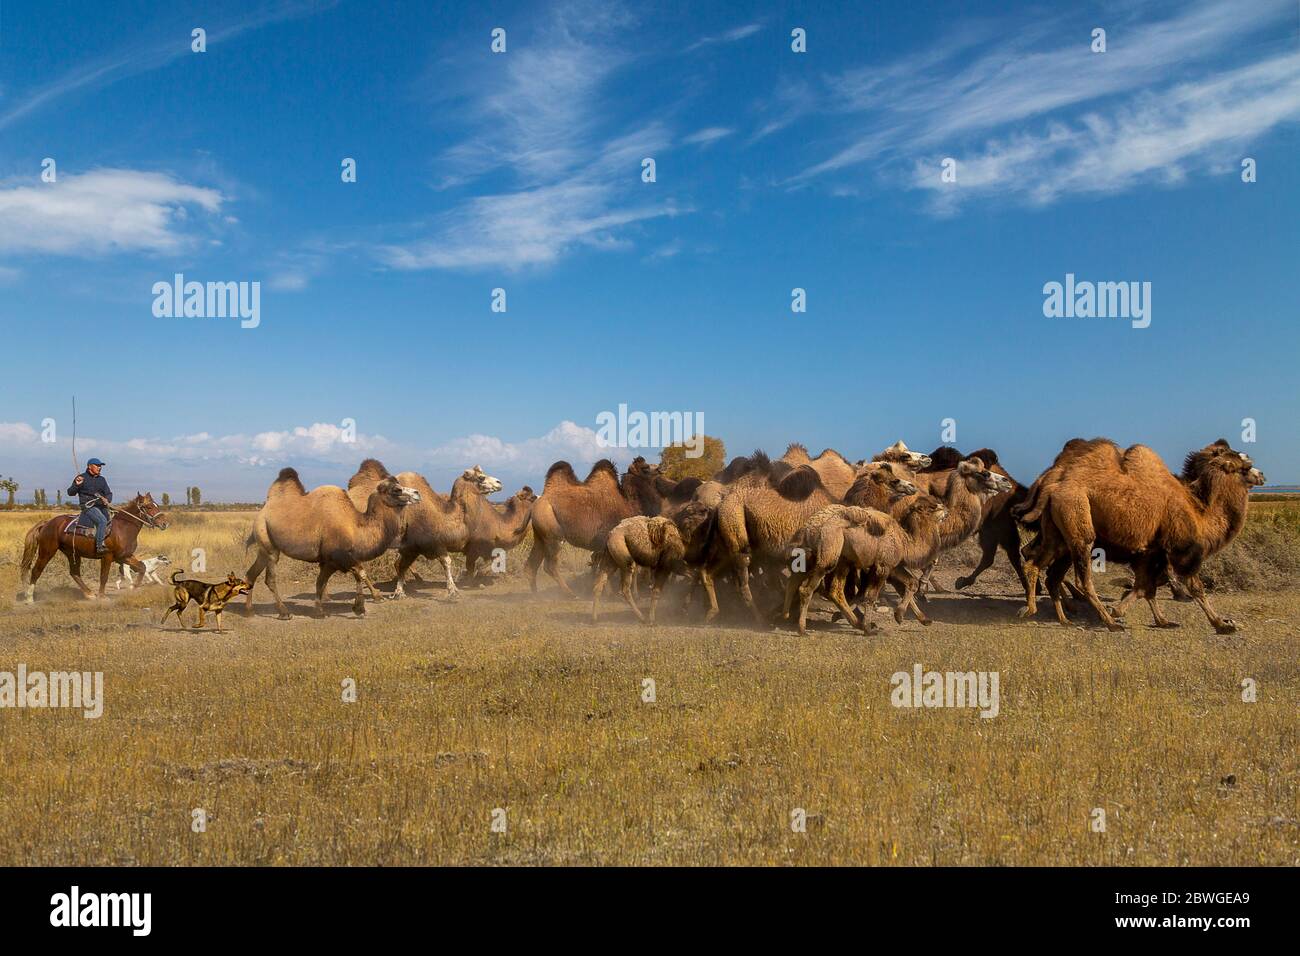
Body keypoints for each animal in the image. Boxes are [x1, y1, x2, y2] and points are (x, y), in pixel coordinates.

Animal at [20, 496, 169, 600]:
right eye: (148, 507)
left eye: (156, 505)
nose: (165, 523)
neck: (122, 528)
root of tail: (47, 523)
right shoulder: (107, 556)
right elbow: (104, 576)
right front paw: (102, 596)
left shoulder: (124, 556)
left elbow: (142, 567)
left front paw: (133, 587)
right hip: (47, 551)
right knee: (36, 570)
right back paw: (29, 598)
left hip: (72, 553)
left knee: (74, 573)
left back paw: (89, 594)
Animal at [244, 468, 421, 621]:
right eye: (396, 489)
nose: (417, 493)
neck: (355, 525)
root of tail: (262, 512)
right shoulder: (336, 556)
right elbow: (357, 573)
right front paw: (356, 608)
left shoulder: (331, 560)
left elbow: (326, 581)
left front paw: (331, 610)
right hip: (268, 542)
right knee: (270, 578)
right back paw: (284, 612)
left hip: (264, 548)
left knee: (251, 574)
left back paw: (250, 611)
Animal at [345, 457, 501, 598]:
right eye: (481, 477)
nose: (499, 482)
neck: (441, 516)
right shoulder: (426, 543)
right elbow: (445, 562)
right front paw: (453, 591)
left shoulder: (416, 546)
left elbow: (401, 565)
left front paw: (400, 591)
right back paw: (375, 595)